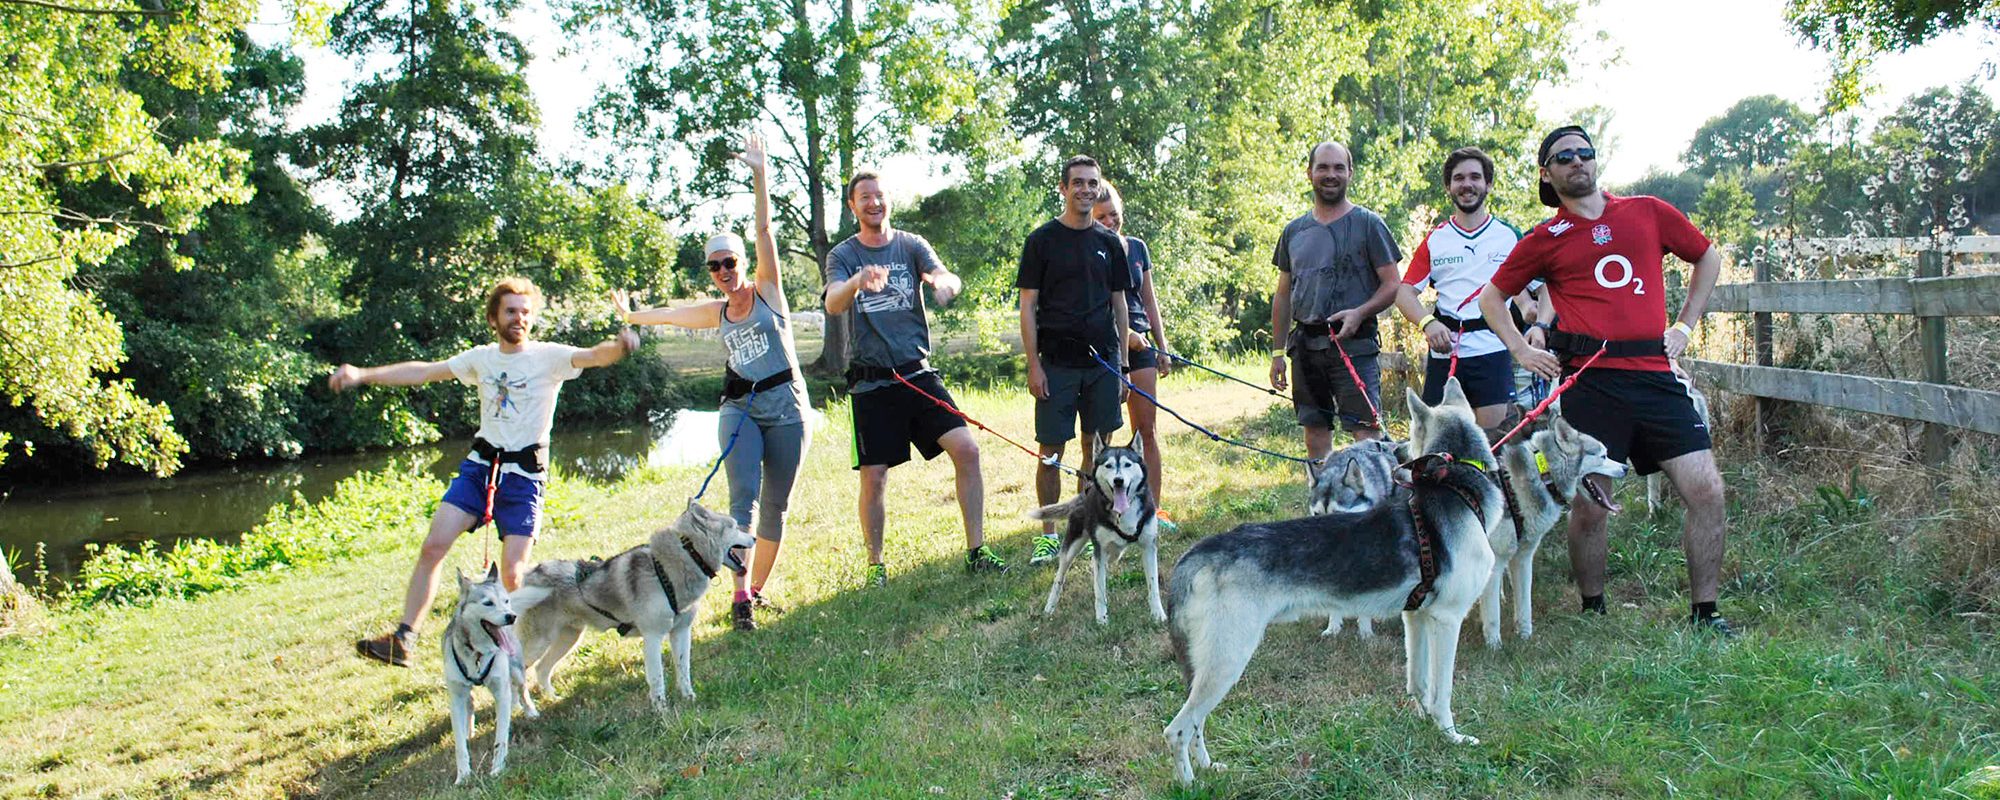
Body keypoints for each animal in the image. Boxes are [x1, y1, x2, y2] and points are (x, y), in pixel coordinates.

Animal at [1024, 432, 1168, 624]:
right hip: (1072, 548)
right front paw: (1102, 620)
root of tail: (1084, 492)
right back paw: (1050, 607)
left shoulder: (1149, 547)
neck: (1123, 512)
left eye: (1127, 464)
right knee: (1059, 577)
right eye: (1108, 465)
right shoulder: (1099, 550)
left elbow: (1153, 586)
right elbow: (1099, 590)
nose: (1118, 480)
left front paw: (1158, 615)